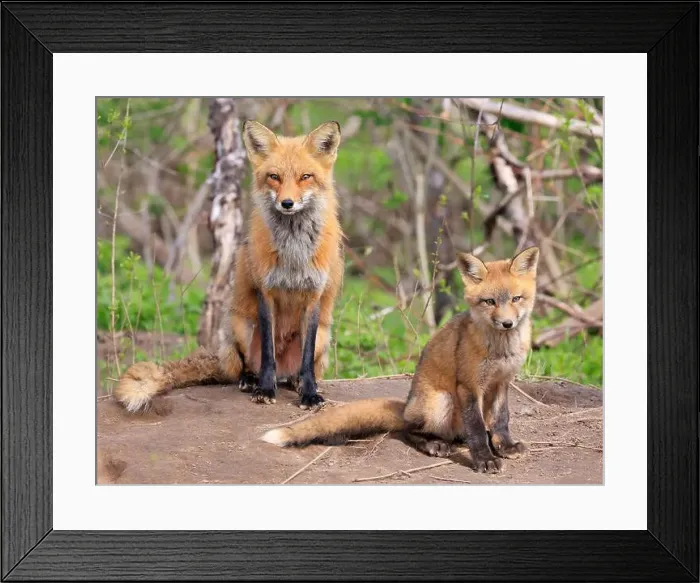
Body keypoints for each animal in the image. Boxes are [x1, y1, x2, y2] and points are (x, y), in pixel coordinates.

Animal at [114, 120, 345, 412]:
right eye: (274, 177)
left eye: (306, 176)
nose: (287, 203)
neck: (293, 252)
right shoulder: (265, 293)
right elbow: (268, 354)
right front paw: (265, 390)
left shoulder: (313, 297)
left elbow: (306, 363)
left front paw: (309, 393)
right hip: (242, 327)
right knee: (245, 366)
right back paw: (251, 380)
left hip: (324, 337)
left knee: (299, 367)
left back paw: (295, 382)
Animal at [261, 246, 540, 473]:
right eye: (489, 301)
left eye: (516, 299)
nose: (507, 323)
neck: (501, 350)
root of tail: (407, 407)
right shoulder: (469, 386)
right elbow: (477, 431)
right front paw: (484, 459)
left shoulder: (501, 382)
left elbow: (501, 420)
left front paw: (505, 446)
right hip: (442, 401)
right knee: (409, 431)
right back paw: (433, 444)